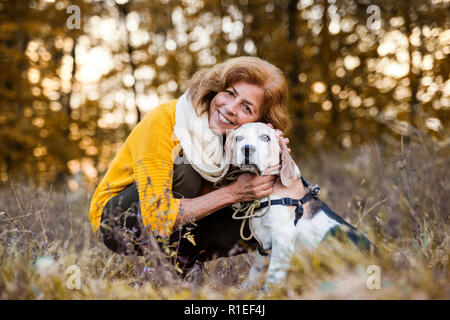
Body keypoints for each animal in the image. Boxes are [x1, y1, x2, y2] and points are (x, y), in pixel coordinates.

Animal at [223, 122, 374, 290]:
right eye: (238, 138)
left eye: (265, 137)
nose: (247, 149)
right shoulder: (264, 247)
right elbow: (253, 276)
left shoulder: (283, 239)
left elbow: (271, 279)